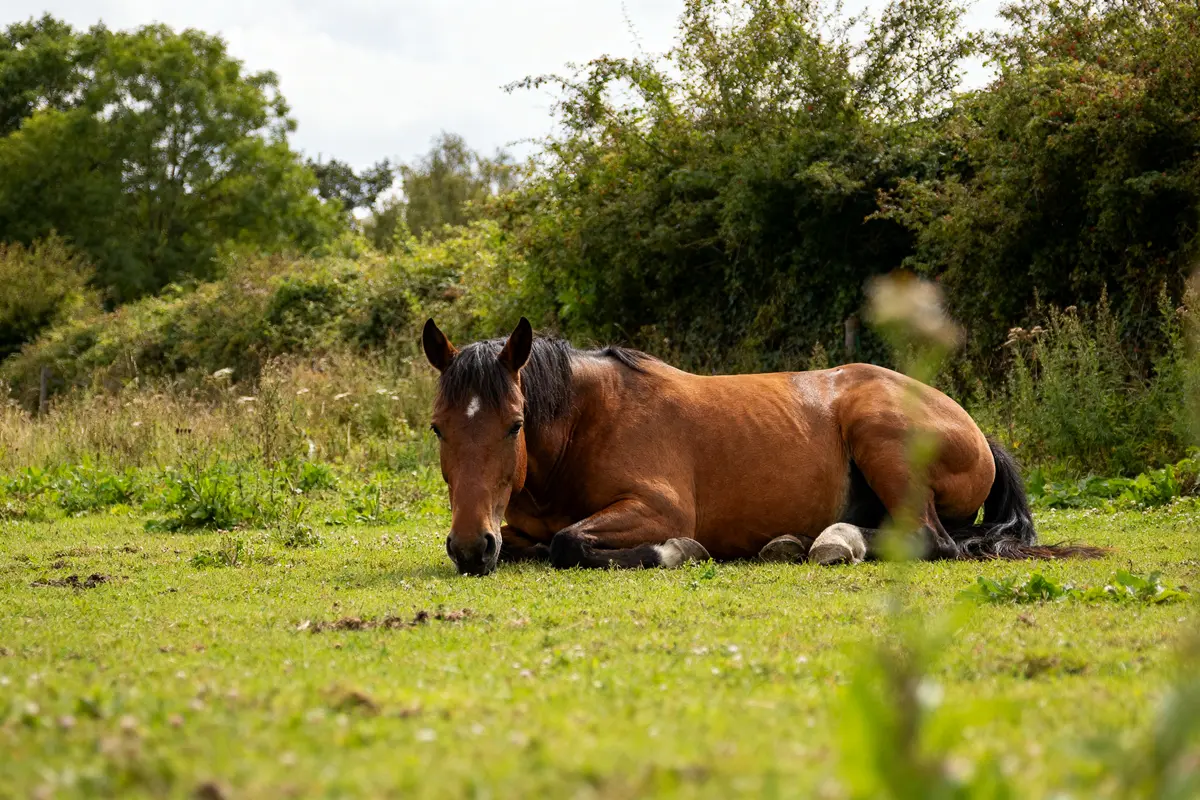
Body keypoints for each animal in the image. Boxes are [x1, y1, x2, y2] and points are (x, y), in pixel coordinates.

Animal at [422, 317, 1103, 576]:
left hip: (880, 434)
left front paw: (679, 551)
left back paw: (831, 542)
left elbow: (569, 543)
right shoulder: (516, 527)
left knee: (931, 540)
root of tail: (977, 431)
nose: (470, 548)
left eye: (514, 424)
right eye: (438, 428)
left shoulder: (658, 509)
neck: (590, 421)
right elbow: (538, 543)